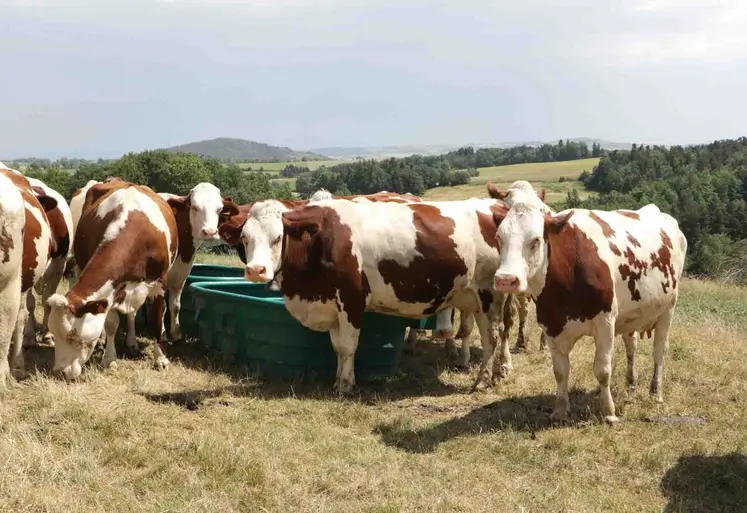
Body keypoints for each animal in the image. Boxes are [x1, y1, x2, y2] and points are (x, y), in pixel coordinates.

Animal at [46, 180, 178, 379]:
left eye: (73, 336)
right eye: (53, 331)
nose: (61, 372)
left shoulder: (158, 284)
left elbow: (156, 321)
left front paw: (161, 359)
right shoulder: (111, 291)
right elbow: (110, 324)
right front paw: (109, 359)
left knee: (132, 314)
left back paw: (132, 343)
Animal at [234, 197, 513, 393]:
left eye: (277, 237)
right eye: (245, 238)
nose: (256, 270)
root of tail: (494, 205)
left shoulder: (351, 301)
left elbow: (348, 346)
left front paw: (346, 385)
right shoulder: (332, 304)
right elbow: (337, 347)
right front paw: (338, 379)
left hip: (489, 294)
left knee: (492, 336)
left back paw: (483, 380)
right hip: (475, 298)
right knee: (489, 336)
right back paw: (489, 376)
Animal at [491, 198, 687, 423]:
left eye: (535, 240)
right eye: (499, 238)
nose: (505, 280)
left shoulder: (605, 322)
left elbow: (603, 370)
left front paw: (608, 411)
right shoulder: (551, 324)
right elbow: (560, 371)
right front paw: (560, 410)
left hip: (668, 309)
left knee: (659, 351)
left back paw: (655, 392)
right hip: (630, 317)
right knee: (631, 348)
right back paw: (630, 387)